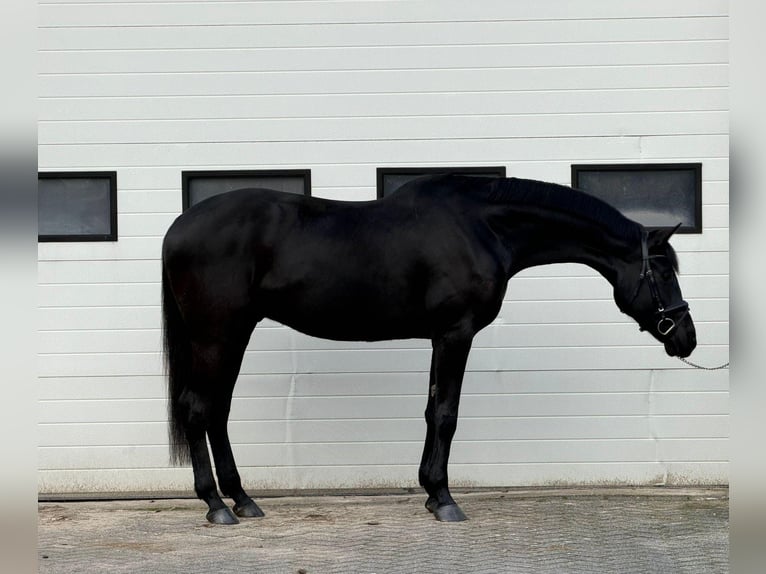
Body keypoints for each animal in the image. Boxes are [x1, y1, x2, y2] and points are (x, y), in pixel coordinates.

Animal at [161, 174, 697, 524]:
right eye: (662, 270)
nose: (686, 337)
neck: (481, 226)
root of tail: (178, 228)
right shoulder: (456, 334)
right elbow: (445, 414)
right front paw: (445, 499)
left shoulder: (442, 337)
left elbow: (430, 410)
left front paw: (429, 493)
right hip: (216, 334)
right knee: (197, 408)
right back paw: (216, 506)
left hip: (233, 333)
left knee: (218, 411)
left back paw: (243, 500)